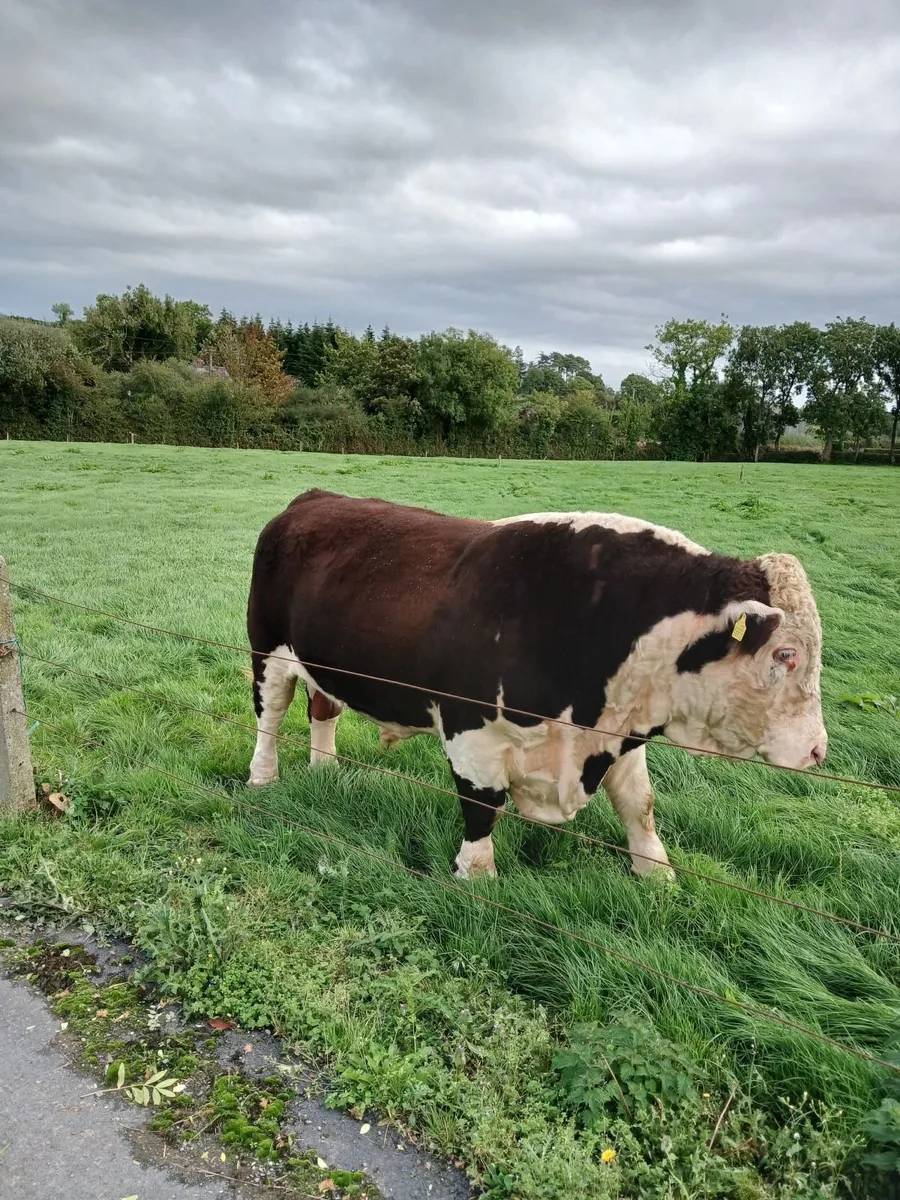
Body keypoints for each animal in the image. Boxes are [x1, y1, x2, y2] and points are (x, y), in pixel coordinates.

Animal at [246, 489, 826, 880]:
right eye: (787, 654)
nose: (818, 750)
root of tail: (314, 498)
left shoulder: (620, 729)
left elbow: (639, 802)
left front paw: (657, 875)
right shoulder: (471, 730)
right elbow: (482, 806)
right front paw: (475, 877)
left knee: (323, 710)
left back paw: (326, 771)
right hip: (267, 652)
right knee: (269, 718)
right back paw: (262, 781)